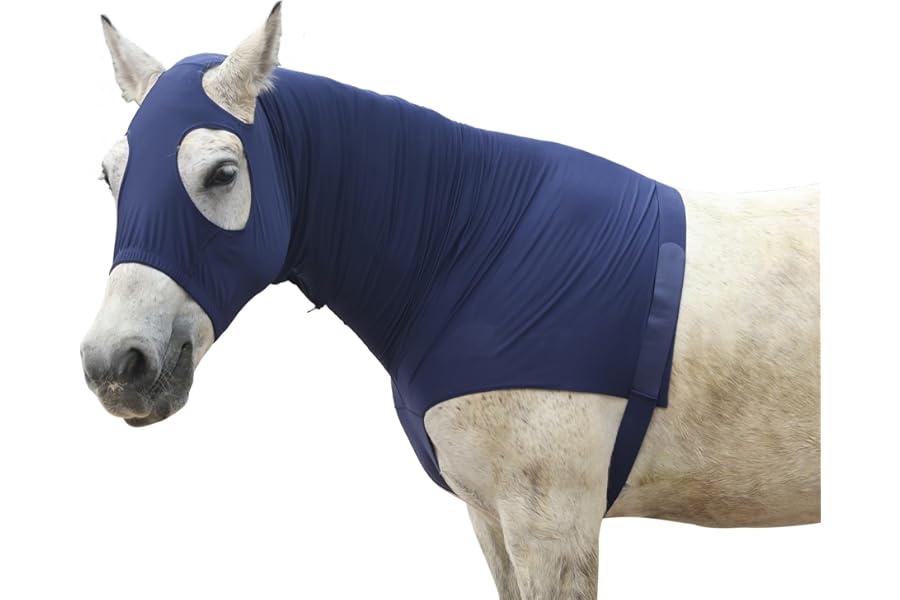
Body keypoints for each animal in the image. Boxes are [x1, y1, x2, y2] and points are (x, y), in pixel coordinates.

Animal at [80, 4, 820, 598]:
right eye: (109, 176)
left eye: (223, 173)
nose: (116, 364)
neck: (479, 253)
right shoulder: (492, 517)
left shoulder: (554, 526)